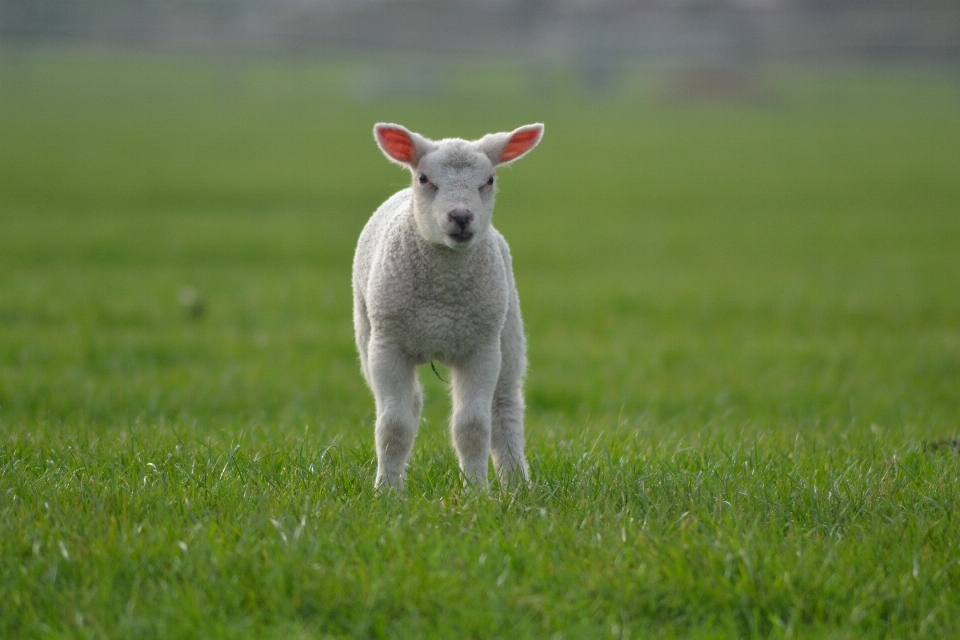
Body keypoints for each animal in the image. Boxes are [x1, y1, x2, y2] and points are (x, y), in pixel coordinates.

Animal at [354, 121, 548, 490]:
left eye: (489, 180)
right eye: (423, 178)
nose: (460, 216)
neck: (441, 301)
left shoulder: (481, 348)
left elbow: (473, 427)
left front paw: (476, 492)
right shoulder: (388, 345)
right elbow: (393, 426)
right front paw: (386, 492)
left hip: (508, 332)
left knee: (505, 407)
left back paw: (517, 484)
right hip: (367, 334)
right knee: (411, 405)